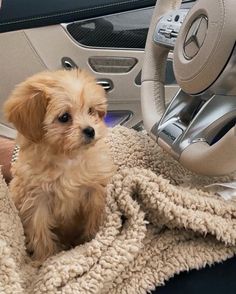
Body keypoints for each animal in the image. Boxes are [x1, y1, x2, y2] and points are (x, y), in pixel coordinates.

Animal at [3, 69, 114, 262]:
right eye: (64, 117)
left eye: (91, 110)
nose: (90, 130)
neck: (67, 158)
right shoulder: (36, 200)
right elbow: (40, 232)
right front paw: (46, 258)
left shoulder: (93, 189)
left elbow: (94, 215)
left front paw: (90, 239)